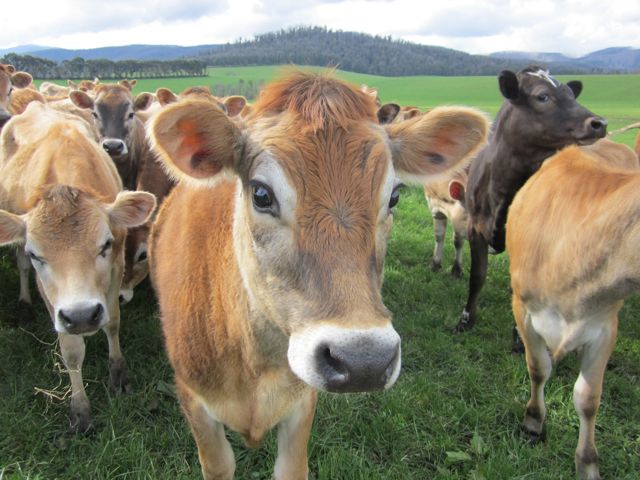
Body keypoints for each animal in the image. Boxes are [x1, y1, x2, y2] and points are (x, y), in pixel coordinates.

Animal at [0, 102, 156, 432]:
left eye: (105, 244)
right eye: (37, 254)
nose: (82, 315)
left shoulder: (115, 267)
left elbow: (113, 321)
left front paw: (119, 374)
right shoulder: (51, 294)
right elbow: (71, 350)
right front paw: (80, 410)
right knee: (20, 266)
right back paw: (23, 304)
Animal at [147, 71, 489, 479]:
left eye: (394, 196)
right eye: (261, 194)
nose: (363, 361)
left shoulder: (302, 403)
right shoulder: (193, 400)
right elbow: (218, 465)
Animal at [456, 66, 607, 338]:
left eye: (571, 94)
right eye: (542, 96)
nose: (598, 123)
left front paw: (519, 336)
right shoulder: (475, 227)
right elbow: (477, 276)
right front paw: (466, 319)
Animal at [507, 140, 639, 480]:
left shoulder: (605, 326)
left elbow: (588, 398)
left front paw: (588, 463)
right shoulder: (524, 309)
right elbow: (538, 368)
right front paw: (533, 422)